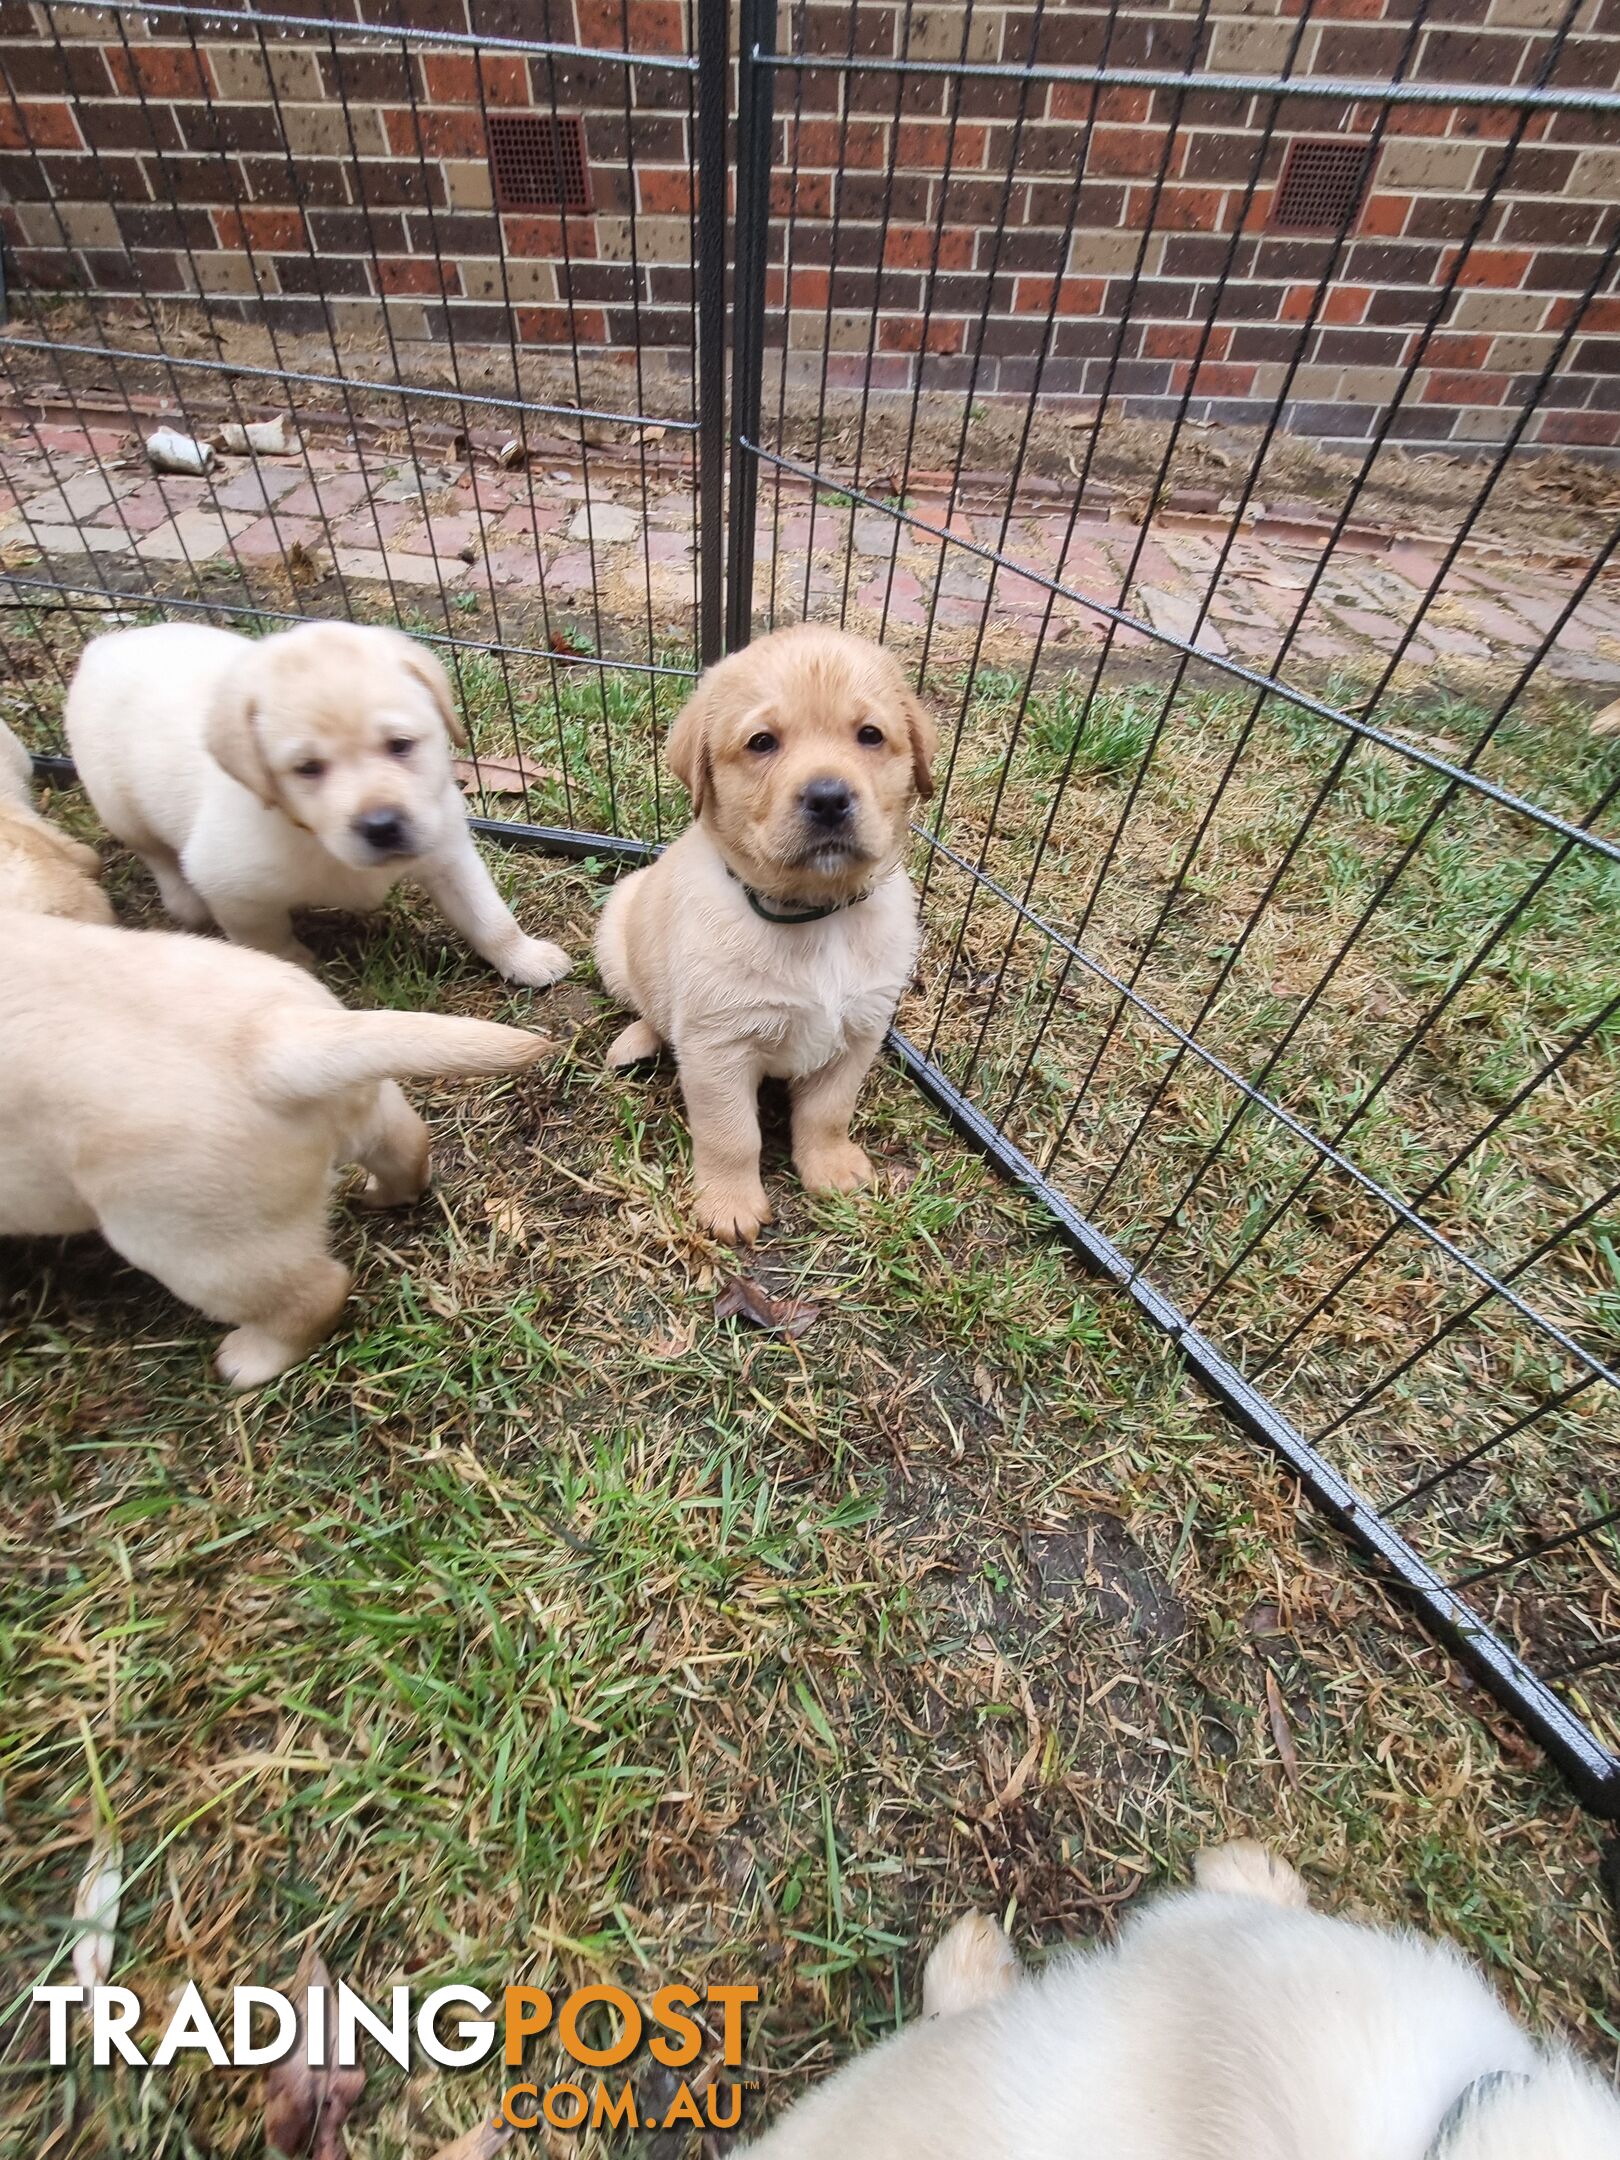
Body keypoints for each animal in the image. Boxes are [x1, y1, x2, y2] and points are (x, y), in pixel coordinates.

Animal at [0, 907, 557, 1382]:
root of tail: (271, 1043)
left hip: (195, 1241)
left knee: (313, 1294)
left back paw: (246, 1362)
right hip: (366, 1108)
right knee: (407, 1149)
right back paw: (379, 1195)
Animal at [66, 617, 574, 989]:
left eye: (400, 745)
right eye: (307, 768)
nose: (382, 825)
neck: (312, 837)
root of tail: (105, 645)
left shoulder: (447, 850)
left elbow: (489, 917)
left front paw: (526, 958)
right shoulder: (231, 886)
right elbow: (265, 939)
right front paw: (292, 964)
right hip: (118, 803)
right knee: (154, 851)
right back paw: (183, 898)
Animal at [596, 626, 937, 1244]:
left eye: (870, 735)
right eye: (761, 743)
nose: (828, 797)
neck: (816, 917)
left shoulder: (861, 1030)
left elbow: (828, 1112)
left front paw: (831, 1168)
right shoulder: (717, 1047)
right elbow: (731, 1135)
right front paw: (729, 1205)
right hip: (616, 927)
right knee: (647, 1006)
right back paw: (636, 1040)